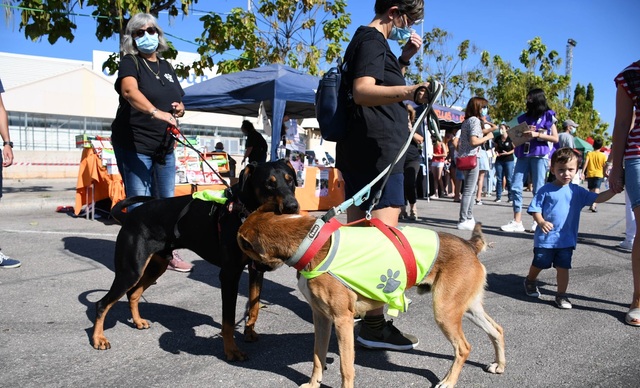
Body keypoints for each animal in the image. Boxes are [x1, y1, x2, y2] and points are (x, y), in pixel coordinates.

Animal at [90, 160, 300, 360]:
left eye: (290, 180)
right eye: (269, 184)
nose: (293, 206)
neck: (244, 212)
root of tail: (129, 217)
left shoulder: (256, 269)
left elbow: (255, 305)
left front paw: (249, 332)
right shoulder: (229, 274)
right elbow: (229, 320)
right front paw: (231, 351)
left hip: (156, 266)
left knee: (133, 294)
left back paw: (138, 321)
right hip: (131, 270)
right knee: (102, 303)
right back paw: (99, 339)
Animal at [238, 211, 508, 386]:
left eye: (243, 249)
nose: (251, 271)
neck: (309, 241)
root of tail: (469, 245)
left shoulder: (343, 321)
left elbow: (346, 368)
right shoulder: (321, 318)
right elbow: (317, 357)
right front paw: (314, 384)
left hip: (445, 311)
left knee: (464, 347)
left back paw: (449, 382)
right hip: (468, 307)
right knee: (497, 330)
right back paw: (500, 365)